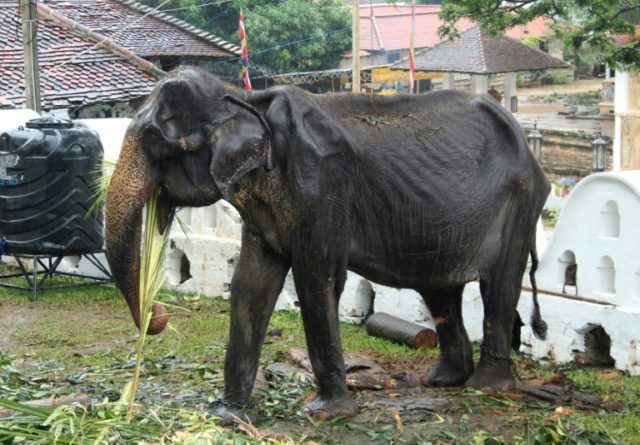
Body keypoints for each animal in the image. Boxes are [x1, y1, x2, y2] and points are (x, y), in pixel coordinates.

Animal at [105, 66, 550, 423]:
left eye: (154, 141)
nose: (159, 313)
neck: (244, 100)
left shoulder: (322, 190)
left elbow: (317, 282)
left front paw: (326, 413)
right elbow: (250, 286)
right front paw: (226, 414)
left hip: (520, 203)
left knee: (498, 286)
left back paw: (486, 387)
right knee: (440, 290)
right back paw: (443, 381)